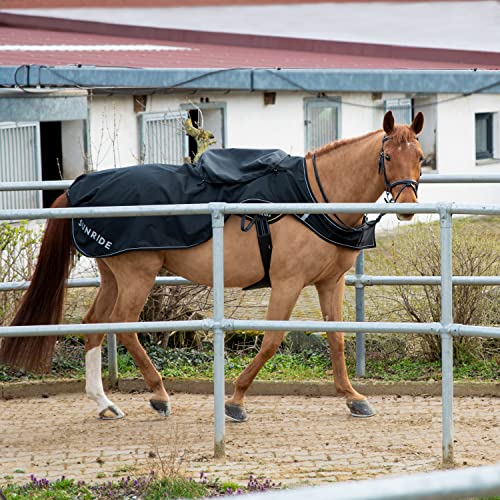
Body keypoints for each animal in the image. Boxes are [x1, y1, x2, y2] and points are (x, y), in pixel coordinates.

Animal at [0, 110, 422, 422]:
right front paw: (235, 400)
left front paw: (352, 397)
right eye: (387, 157)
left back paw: (105, 403)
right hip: (137, 276)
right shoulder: (288, 282)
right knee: (125, 327)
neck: (312, 197)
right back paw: (159, 394)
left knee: (95, 326)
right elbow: (271, 342)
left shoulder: (329, 283)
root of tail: (80, 188)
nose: (407, 207)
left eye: (419, 157)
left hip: (113, 277)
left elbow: (337, 339)